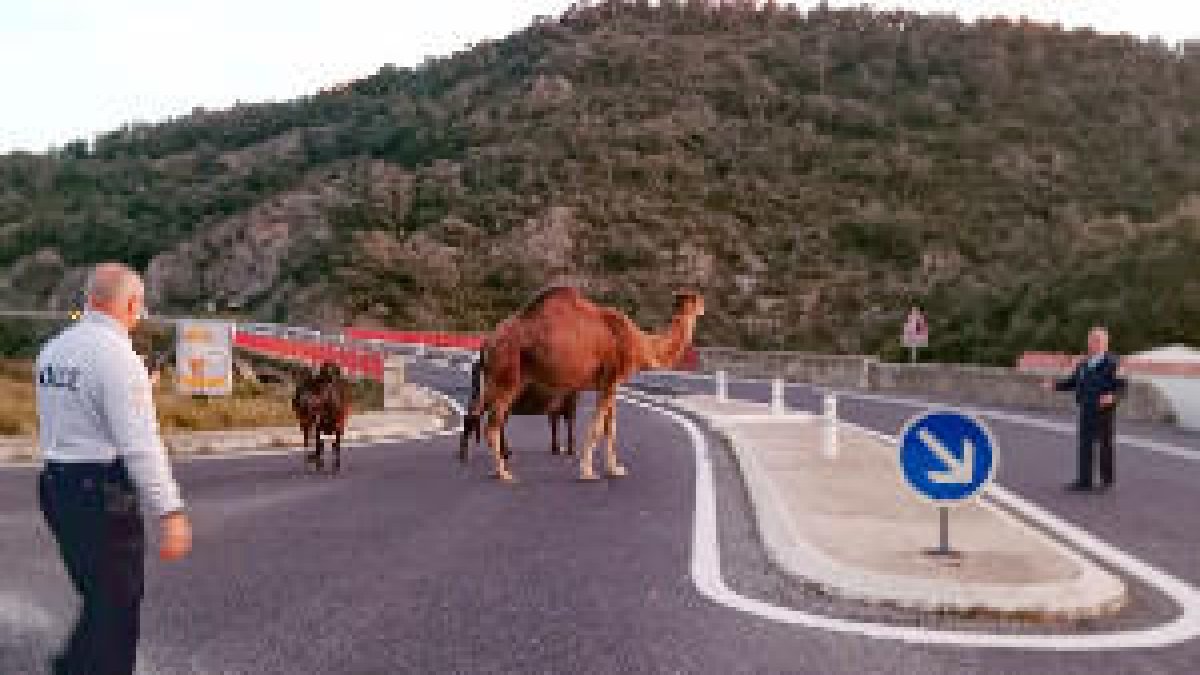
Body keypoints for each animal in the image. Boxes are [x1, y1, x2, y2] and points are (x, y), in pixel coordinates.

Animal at [472, 285, 700, 480]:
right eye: (696, 299)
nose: (702, 308)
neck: (638, 342)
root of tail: (487, 343)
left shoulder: (610, 383)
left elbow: (610, 428)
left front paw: (615, 469)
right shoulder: (610, 378)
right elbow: (598, 427)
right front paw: (588, 471)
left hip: (493, 380)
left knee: (477, 411)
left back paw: (495, 468)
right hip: (507, 377)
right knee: (492, 424)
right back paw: (504, 474)